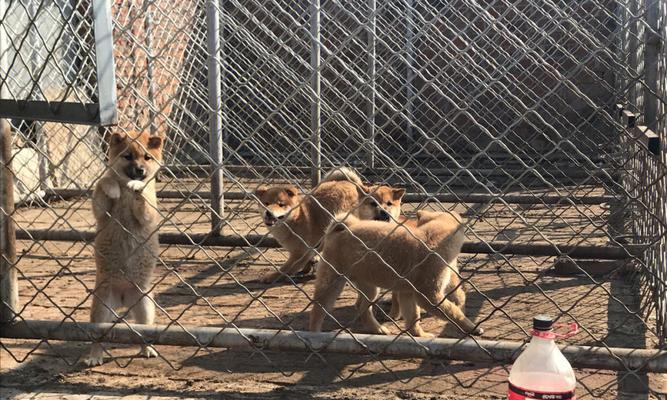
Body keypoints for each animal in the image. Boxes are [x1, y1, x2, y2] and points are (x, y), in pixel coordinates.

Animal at [84, 130, 164, 366]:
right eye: (128, 156)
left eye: (147, 157)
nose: (140, 171)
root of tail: (122, 297)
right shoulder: (101, 210)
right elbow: (104, 181)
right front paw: (113, 187)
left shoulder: (147, 215)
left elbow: (143, 197)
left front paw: (138, 187)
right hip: (101, 309)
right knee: (98, 338)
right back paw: (95, 356)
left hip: (145, 306)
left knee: (143, 332)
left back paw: (148, 349)